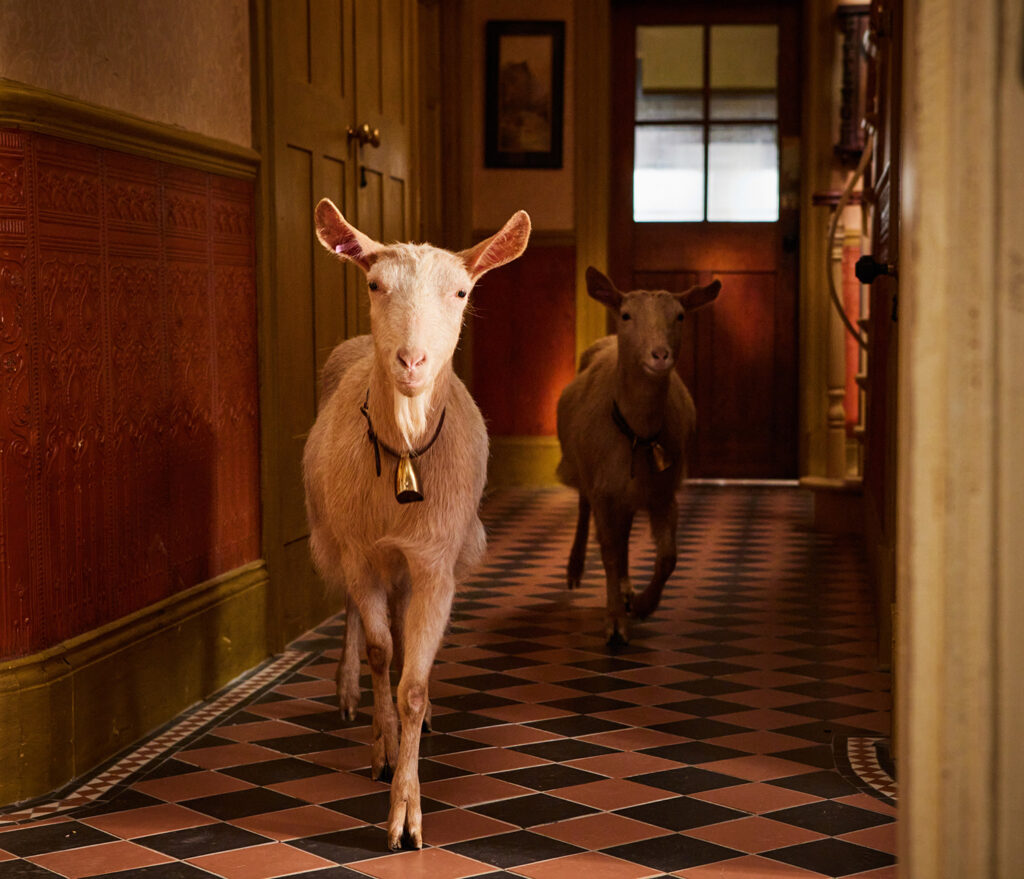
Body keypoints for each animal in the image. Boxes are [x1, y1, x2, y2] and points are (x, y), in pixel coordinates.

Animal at [303, 199, 531, 849]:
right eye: (375, 284)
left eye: (461, 291)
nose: (411, 361)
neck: (404, 446)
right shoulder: (358, 549)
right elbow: (381, 652)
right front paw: (383, 748)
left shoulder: (434, 563)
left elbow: (413, 683)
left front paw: (406, 811)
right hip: (336, 535)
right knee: (356, 614)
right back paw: (348, 689)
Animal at [556, 267, 720, 646]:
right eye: (627, 315)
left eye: (679, 315)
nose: (660, 355)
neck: (638, 436)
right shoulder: (603, 487)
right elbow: (609, 553)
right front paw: (615, 623)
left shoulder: (662, 490)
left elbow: (668, 557)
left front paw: (644, 604)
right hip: (583, 467)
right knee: (585, 510)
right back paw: (575, 568)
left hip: (630, 491)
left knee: (625, 533)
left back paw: (629, 589)